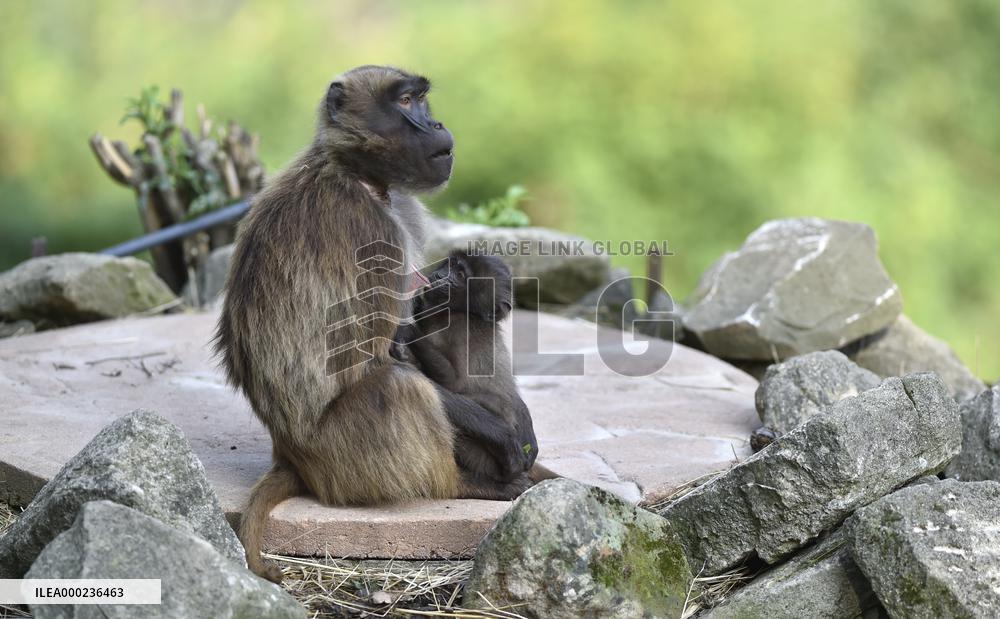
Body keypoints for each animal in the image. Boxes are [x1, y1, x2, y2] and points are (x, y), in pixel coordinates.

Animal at [393, 251, 539, 498]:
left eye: (460, 275)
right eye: (450, 265)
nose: (438, 275)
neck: (464, 312)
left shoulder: (458, 327)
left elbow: (453, 382)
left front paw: (408, 332)